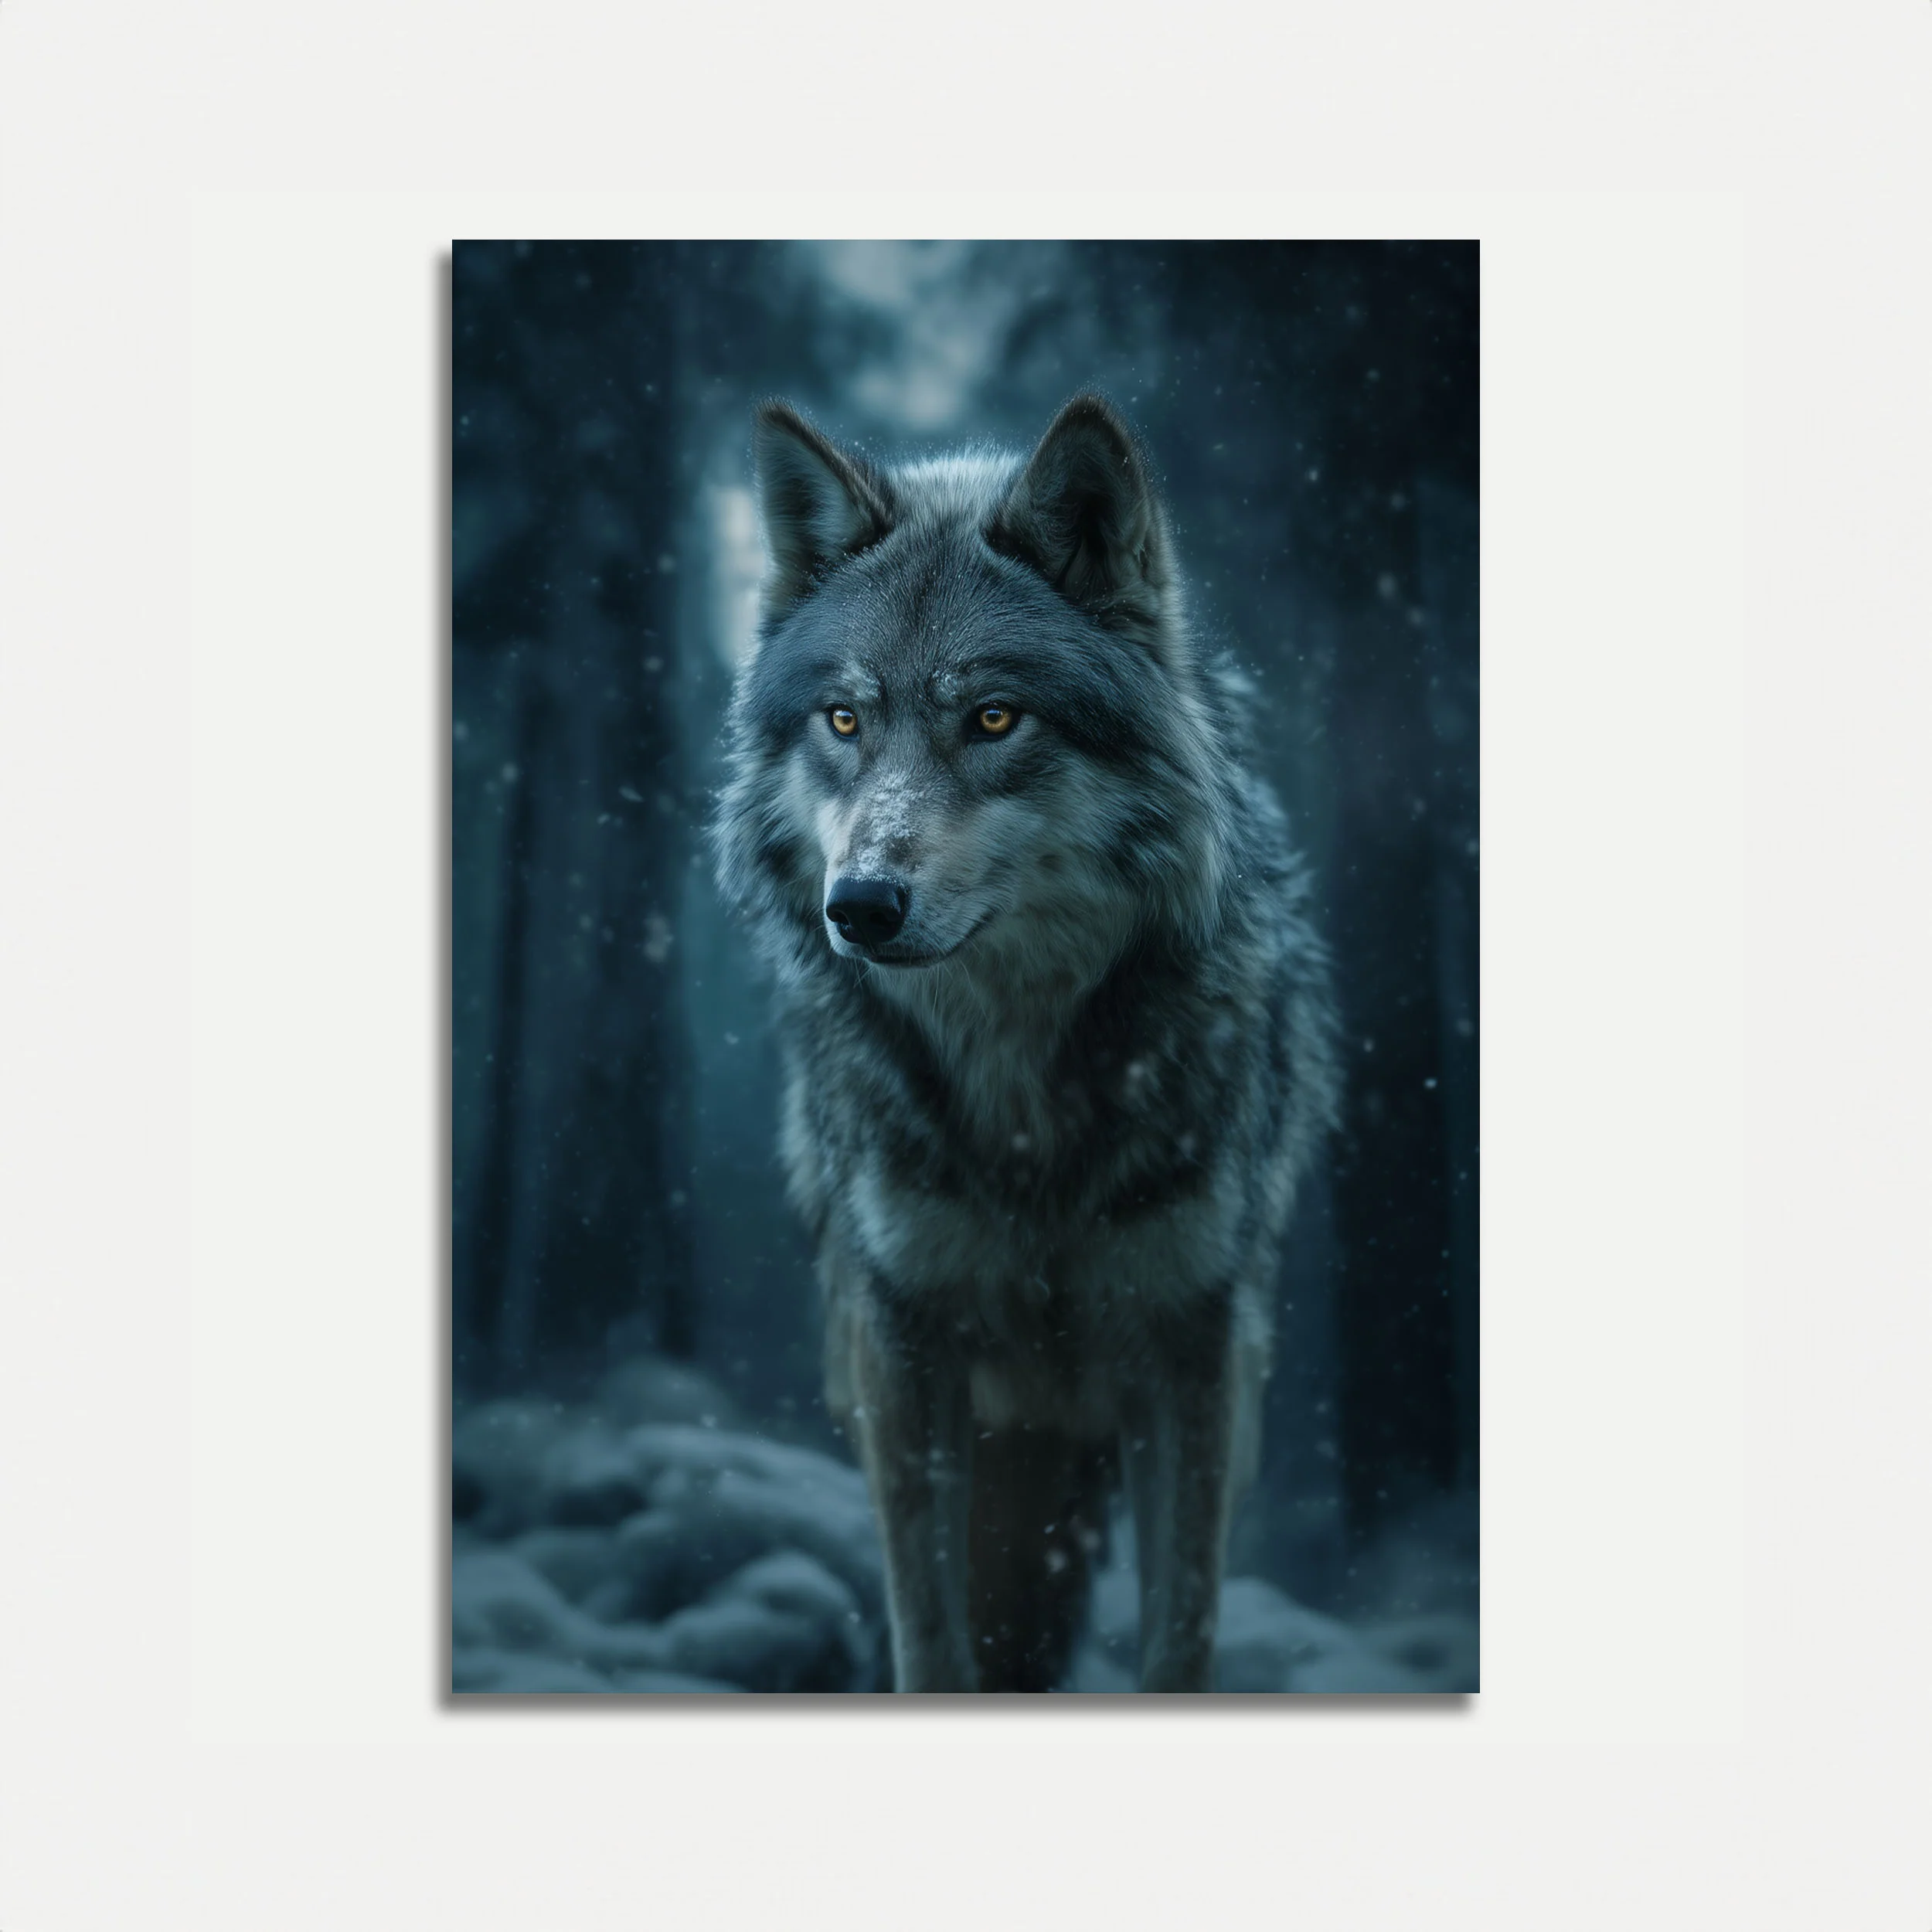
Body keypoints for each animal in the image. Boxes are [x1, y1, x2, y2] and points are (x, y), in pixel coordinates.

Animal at [713, 392, 1339, 1692]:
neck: (1020, 1107)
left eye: (993, 718)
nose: (861, 905)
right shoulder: (903, 1349)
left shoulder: (1195, 1351)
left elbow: (1181, 1637)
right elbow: (931, 1639)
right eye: (844, 720)